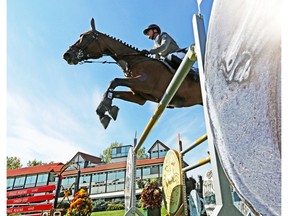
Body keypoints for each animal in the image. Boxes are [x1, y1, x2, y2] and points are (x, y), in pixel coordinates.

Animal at [63, 18, 202, 128]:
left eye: (85, 37)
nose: (67, 55)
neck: (133, 61)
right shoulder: (139, 96)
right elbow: (113, 91)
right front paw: (104, 111)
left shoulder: (145, 84)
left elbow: (114, 81)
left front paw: (105, 107)